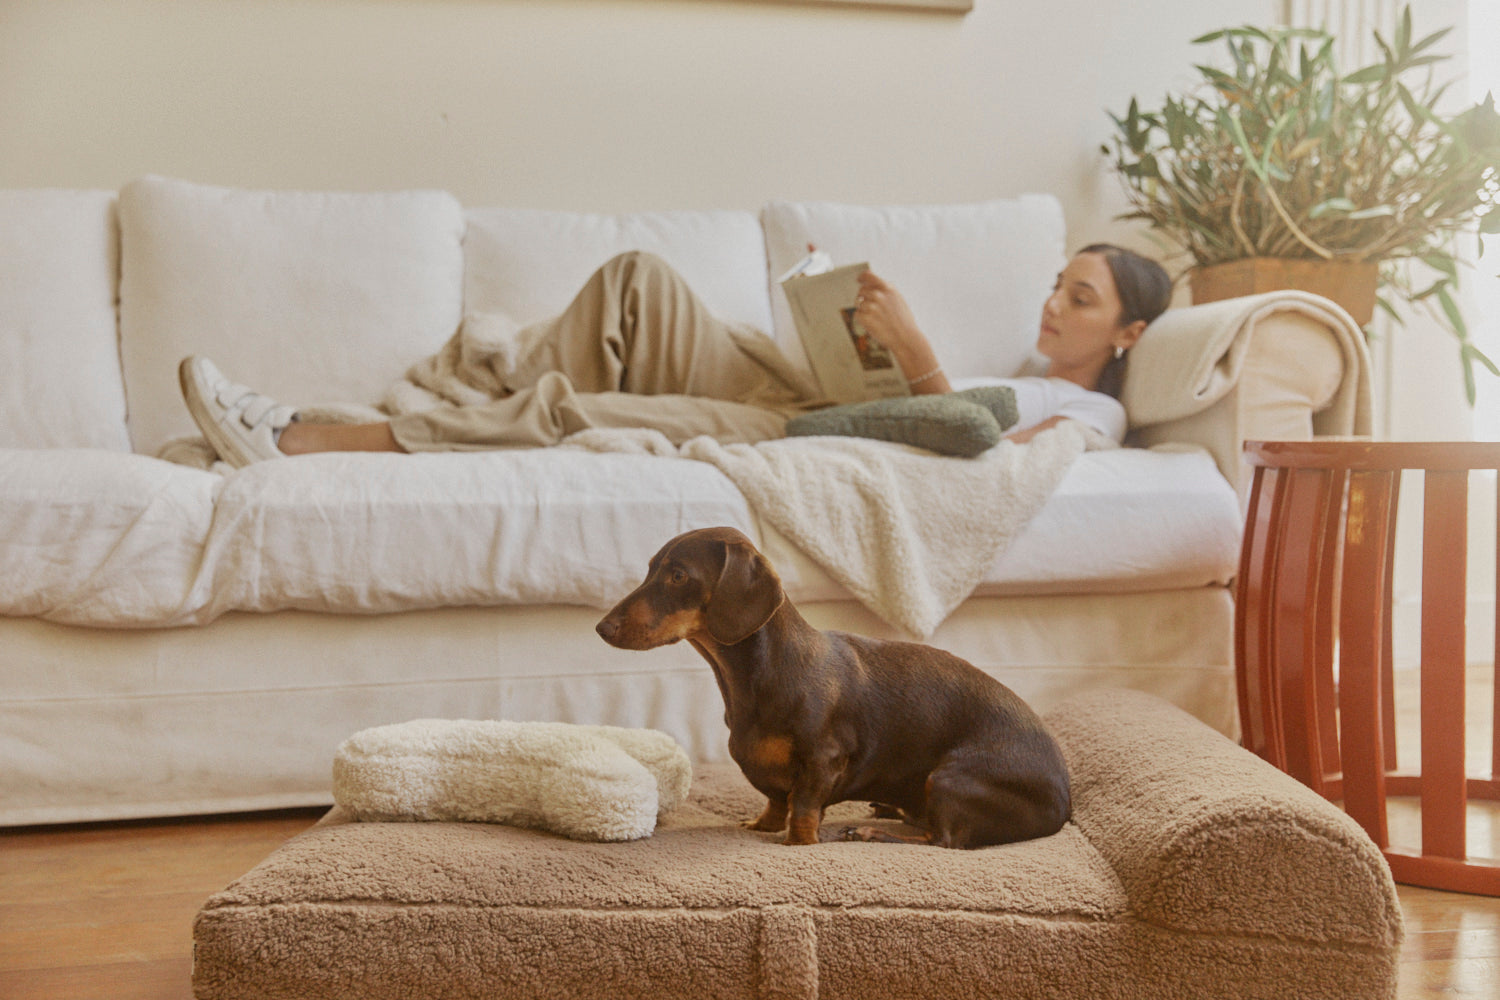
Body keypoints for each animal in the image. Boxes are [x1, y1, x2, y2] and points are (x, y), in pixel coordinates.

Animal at [591, 527, 1074, 851]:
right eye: (650, 569)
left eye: (678, 575)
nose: (601, 628)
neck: (762, 674)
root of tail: (1064, 806)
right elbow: (775, 800)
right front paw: (764, 825)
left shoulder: (824, 760)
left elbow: (804, 805)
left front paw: (799, 842)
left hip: (949, 777)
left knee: (943, 839)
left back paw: (872, 830)